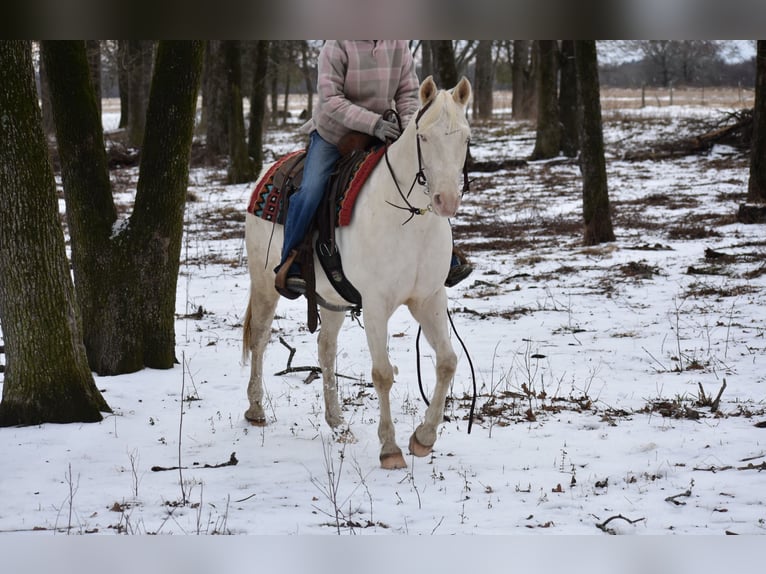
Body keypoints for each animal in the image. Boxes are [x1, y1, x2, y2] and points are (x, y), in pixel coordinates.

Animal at [242, 76, 472, 470]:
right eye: (423, 137)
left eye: (466, 137)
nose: (446, 201)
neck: (408, 219)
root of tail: (268, 173)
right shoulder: (377, 305)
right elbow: (382, 374)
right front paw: (390, 449)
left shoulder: (429, 298)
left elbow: (447, 362)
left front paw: (423, 438)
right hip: (264, 284)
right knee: (259, 338)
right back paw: (256, 409)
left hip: (331, 298)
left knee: (325, 348)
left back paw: (338, 422)